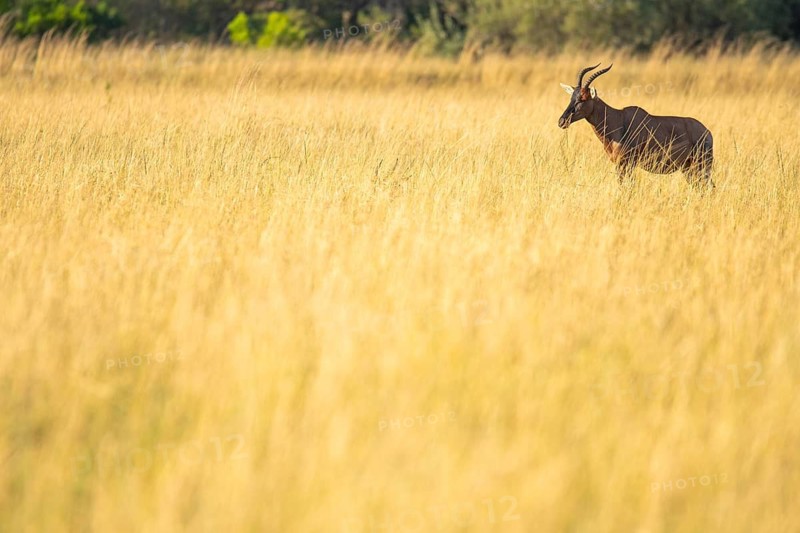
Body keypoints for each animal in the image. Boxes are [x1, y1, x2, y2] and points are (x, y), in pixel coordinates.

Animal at [558, 64, 714, 189]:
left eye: (583, 98)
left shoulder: (627, 164)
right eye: (572, 97)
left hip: (702, 165)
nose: (562, 121)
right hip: (688, 168)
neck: (618, 120)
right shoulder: (619, 164)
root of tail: (707, 133)